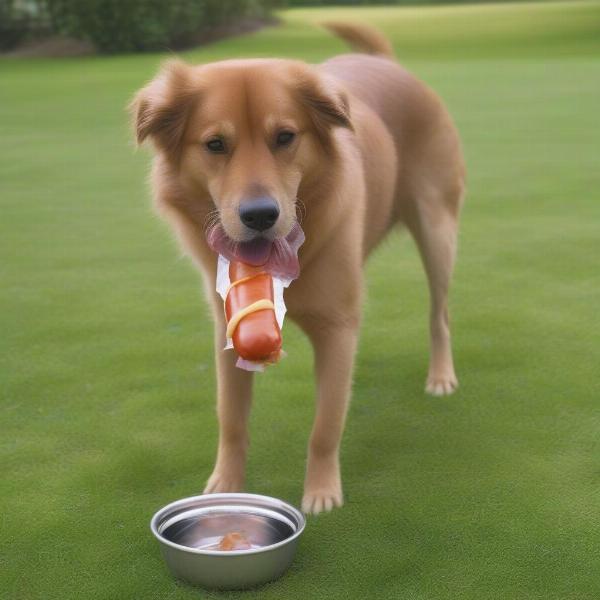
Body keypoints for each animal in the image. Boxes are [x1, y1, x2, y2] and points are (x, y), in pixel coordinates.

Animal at [130, 22, 464, 510]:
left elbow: (326, 424)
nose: (259, 215)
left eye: (285, 137)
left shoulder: (338, 328)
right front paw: (226, 486)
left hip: (437, 232)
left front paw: (321, 492)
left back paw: (440, 376)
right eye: (215, 145)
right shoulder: (228, 328)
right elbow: (231, 417)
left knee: (439, 314)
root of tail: (386, 63)